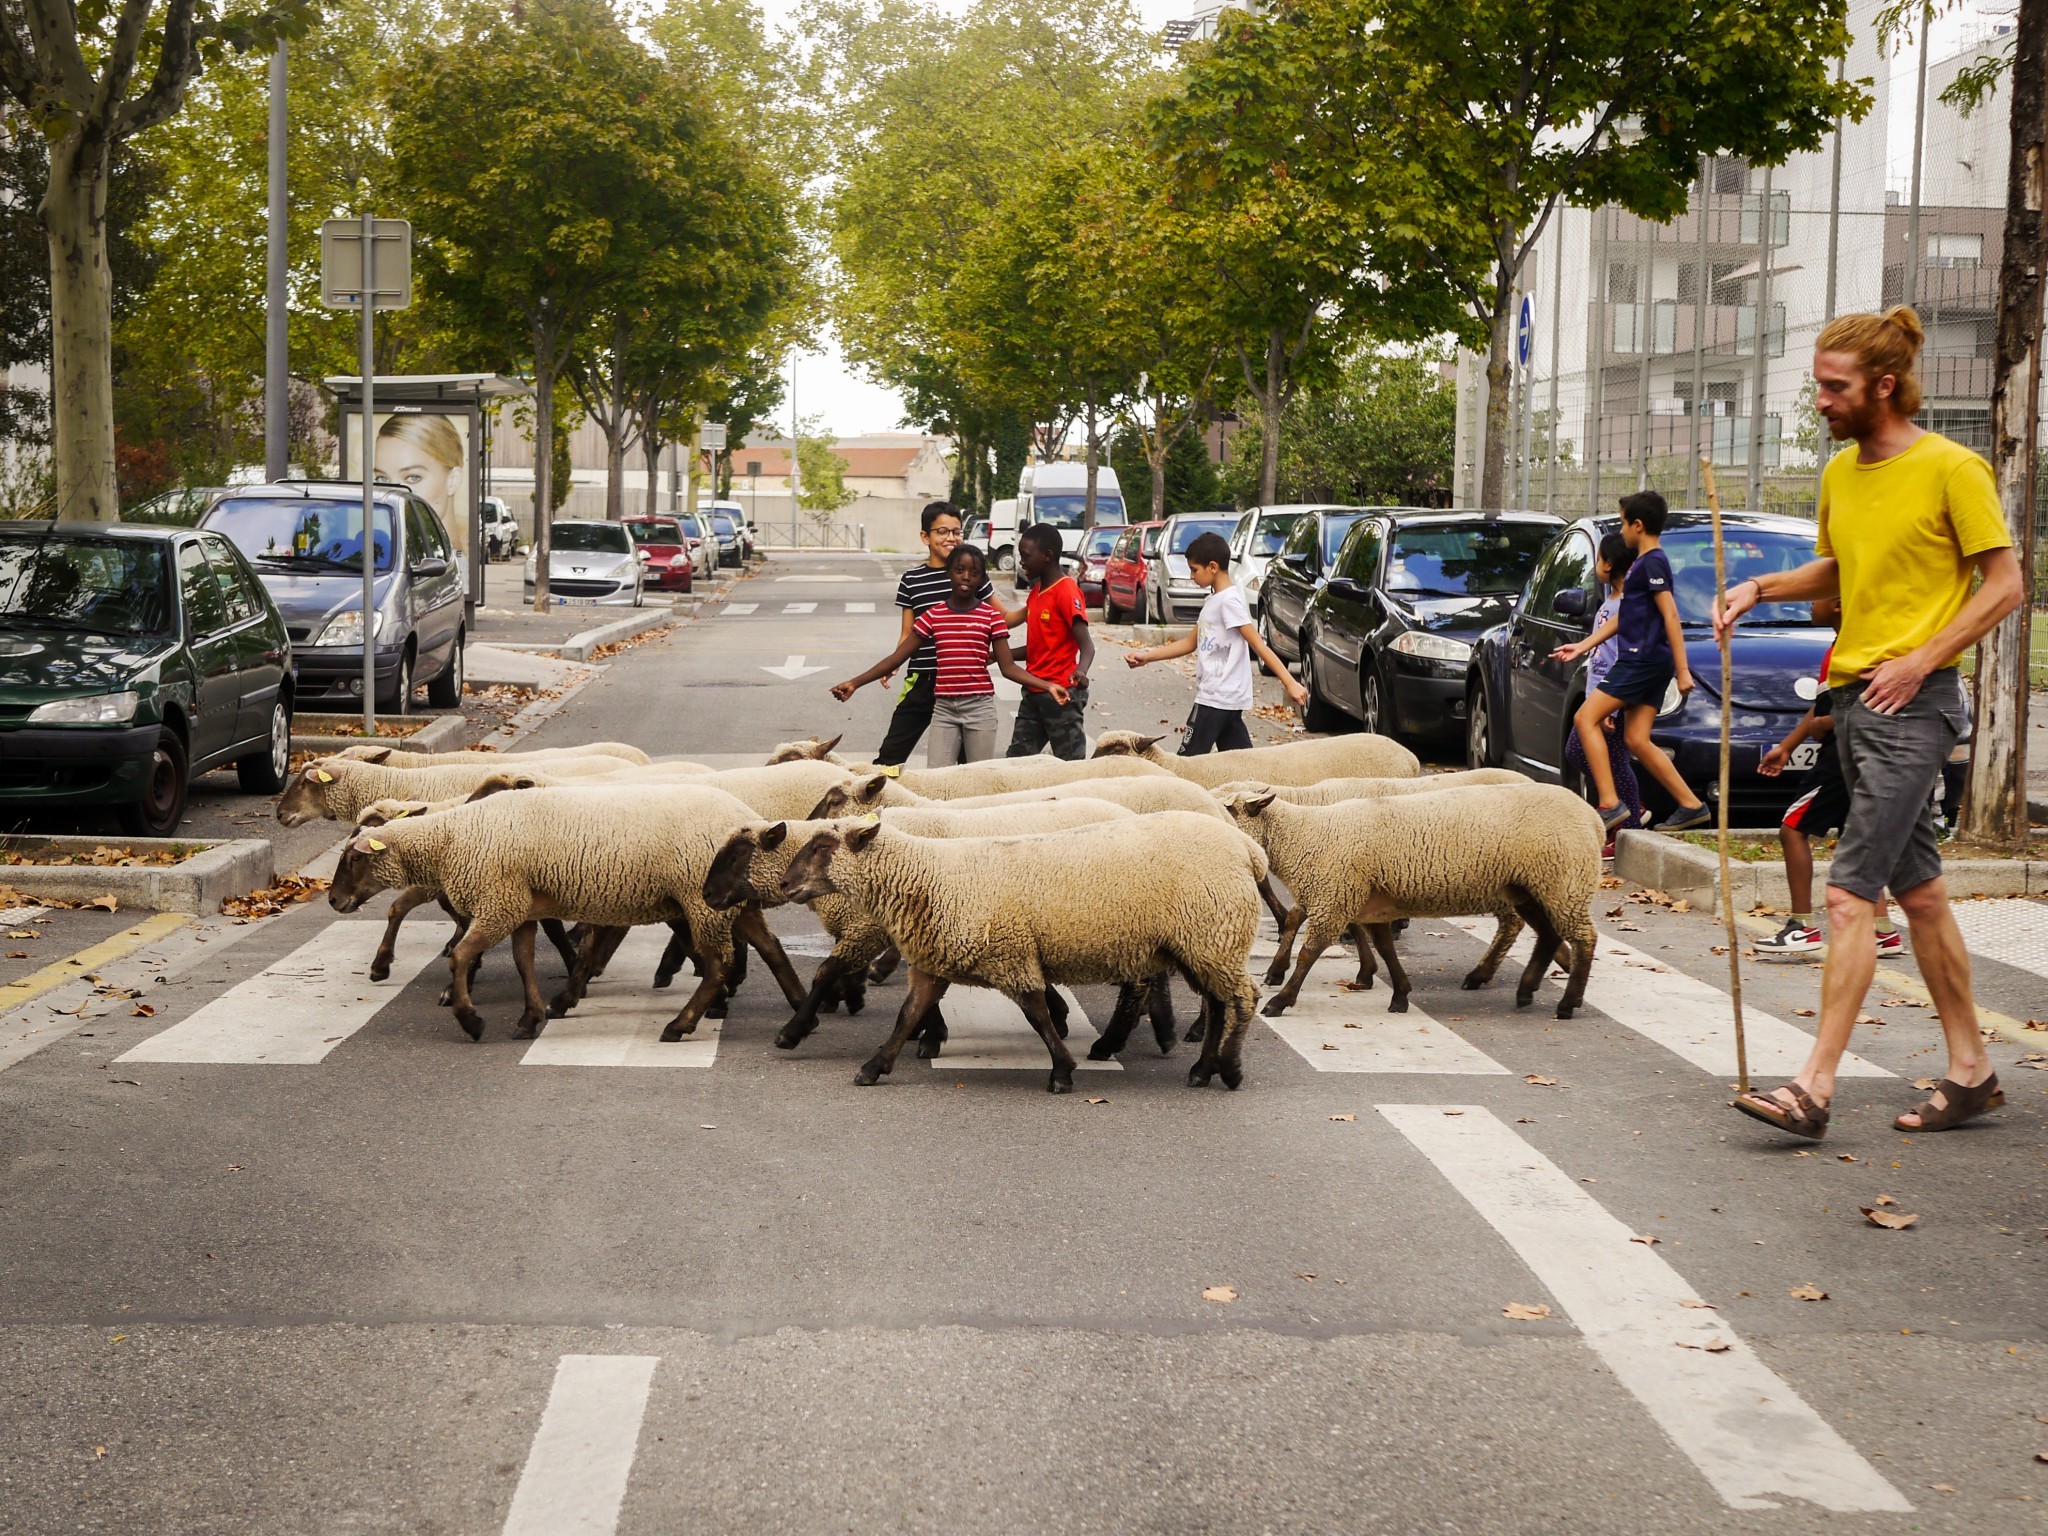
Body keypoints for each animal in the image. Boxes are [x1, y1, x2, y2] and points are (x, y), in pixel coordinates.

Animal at [323, 782, 802, 1048]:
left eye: (354, 859)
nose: (332, 901)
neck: (450, 838)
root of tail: (751, 819)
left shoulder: (498, 902)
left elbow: (459, 957)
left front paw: (471, 1019)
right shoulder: (518, 906)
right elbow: (524, 962)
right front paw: (530, 1017)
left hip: (701, 901)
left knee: (719, 964)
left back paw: (680, 1024)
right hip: (725, 901)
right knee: (771, 948)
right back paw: (799, 1009)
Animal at [700, 798, 1171, 1056]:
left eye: (739, 853)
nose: (706, 895)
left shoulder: (873, 927)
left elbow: (825, 972)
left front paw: (793, 1031)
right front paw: (930, 1032)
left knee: (1143, 979)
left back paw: (1120, 1041)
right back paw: (1160, 1033)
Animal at [778, 819, 1269, 1097]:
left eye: (823, 847)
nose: (784, 885)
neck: (931, 878)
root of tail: (1249, 851)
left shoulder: (1011, 953)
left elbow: (1036, 1013)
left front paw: (1063, 1072)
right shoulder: (937, 963)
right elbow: (907, 1016)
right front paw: (874, 1068)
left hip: (1213, 936)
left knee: (1243, 999)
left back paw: (1230, 1069)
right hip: (1199, 944)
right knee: (1218, 1003)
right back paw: (1202, 1070)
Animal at [1212, 794, 1597, 1024]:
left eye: (1229, 808)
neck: (1305, 835)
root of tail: (1590, 814)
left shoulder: (1336, 896)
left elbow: (1310, 953)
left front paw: (1280, 1001)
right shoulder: (1364, 899)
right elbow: (1385, 948)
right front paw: (1400, 994)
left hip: (1563, 882)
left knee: (1584, 938)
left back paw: (1568, 1002)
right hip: (1531, 888)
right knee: (1547, 935)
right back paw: (1525, 990)